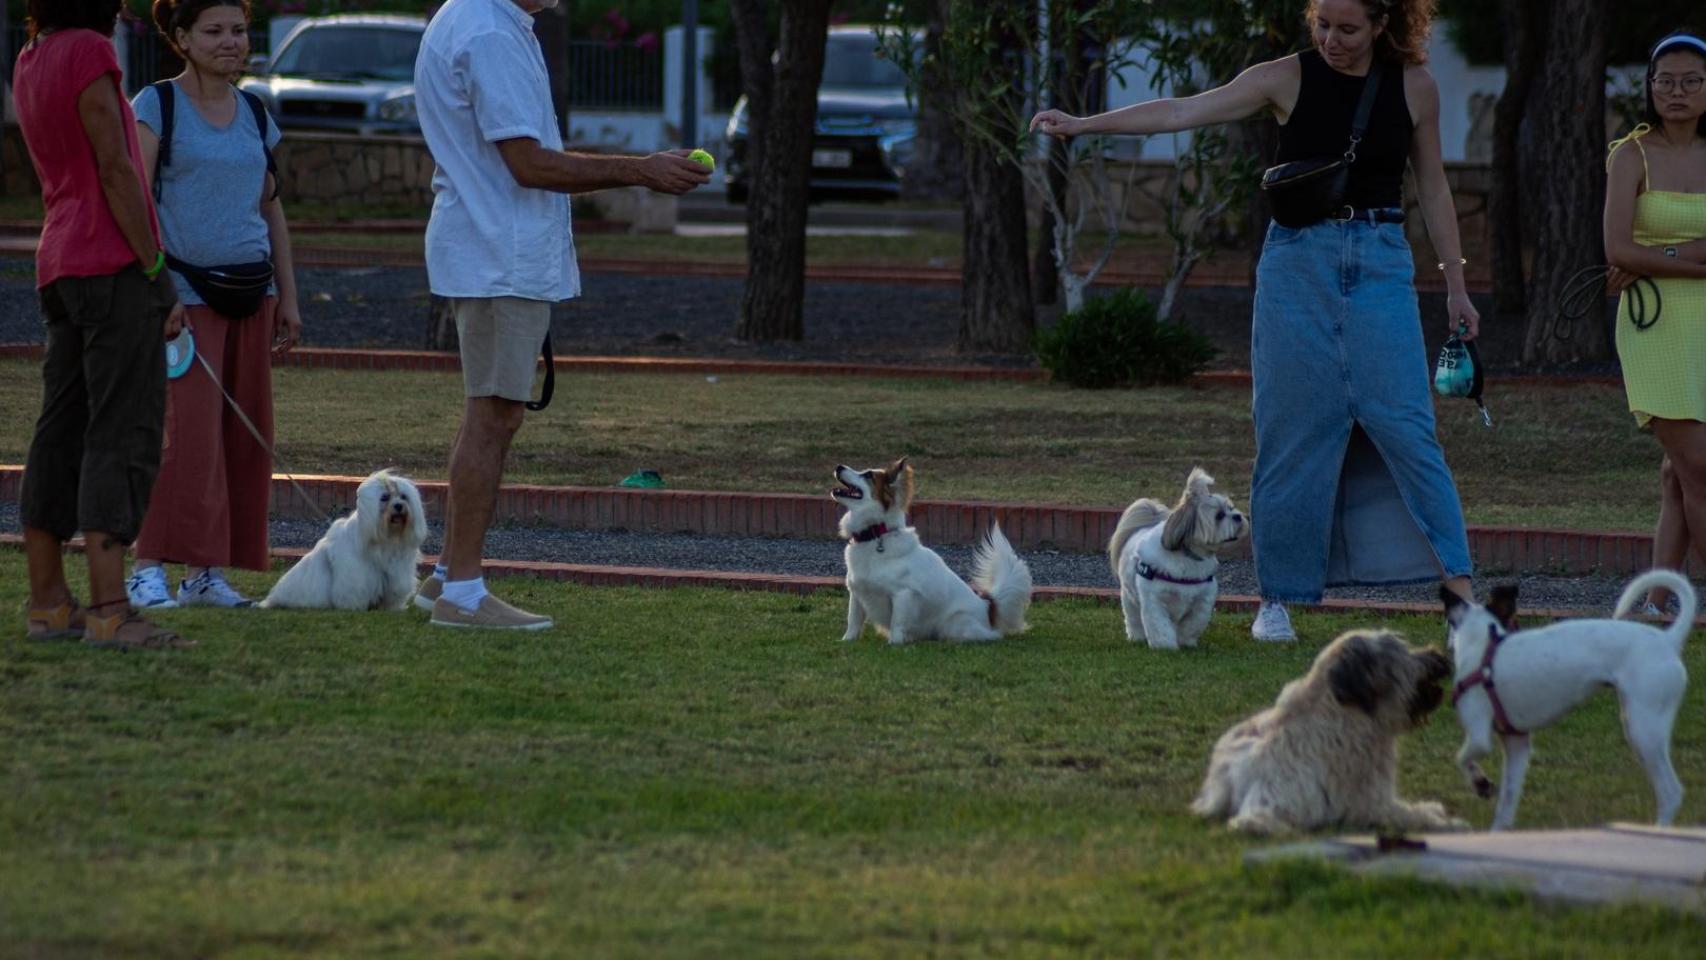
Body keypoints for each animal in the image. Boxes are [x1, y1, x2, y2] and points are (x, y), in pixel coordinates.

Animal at [266, 470, 429, 613]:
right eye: (384, 497)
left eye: (403, 497)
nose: (399, 506)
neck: (386, 537)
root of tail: (273, 597)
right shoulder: (356, 575)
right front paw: (353, 608)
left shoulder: (397, 575)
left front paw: (392, 609)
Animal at [832, 456, 1030, 644]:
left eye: (868, 475)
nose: (838, 466)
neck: (875, 535)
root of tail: (987, 606)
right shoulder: (856, 593)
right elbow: (853, 621)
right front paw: (847, 641)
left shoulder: (903, 594)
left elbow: (897, 622)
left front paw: (894, 643)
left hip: (955, 624)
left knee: (989, 636)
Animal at [1105, 467, 1255, 651]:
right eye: (1219, 515)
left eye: (1231, 508)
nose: (1238, 516)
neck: (1188, 556)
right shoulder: (1154, 601)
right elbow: (1160, 626)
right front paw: (1165, 646)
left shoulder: (1203, 600)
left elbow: (1193, 623)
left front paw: (1185, 641)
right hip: (1129, 598)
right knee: (1133, 619)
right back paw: (1136, 637)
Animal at [1194, 630, 1460, 835]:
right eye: (1401, 651)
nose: (1442, 658)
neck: (1338, 707)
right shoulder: (1370, 799)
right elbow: (1406, 814)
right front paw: (1444, 821)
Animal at [1439, 569, 1692, 835]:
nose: (1443, 590)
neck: (1482, 646)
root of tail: (1668, 639)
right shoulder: (1517, 745)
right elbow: (1507, 803)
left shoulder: (1479, 737)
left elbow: (1462, 759)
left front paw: (1480, 783)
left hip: (1644, 730)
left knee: (1671, 791)